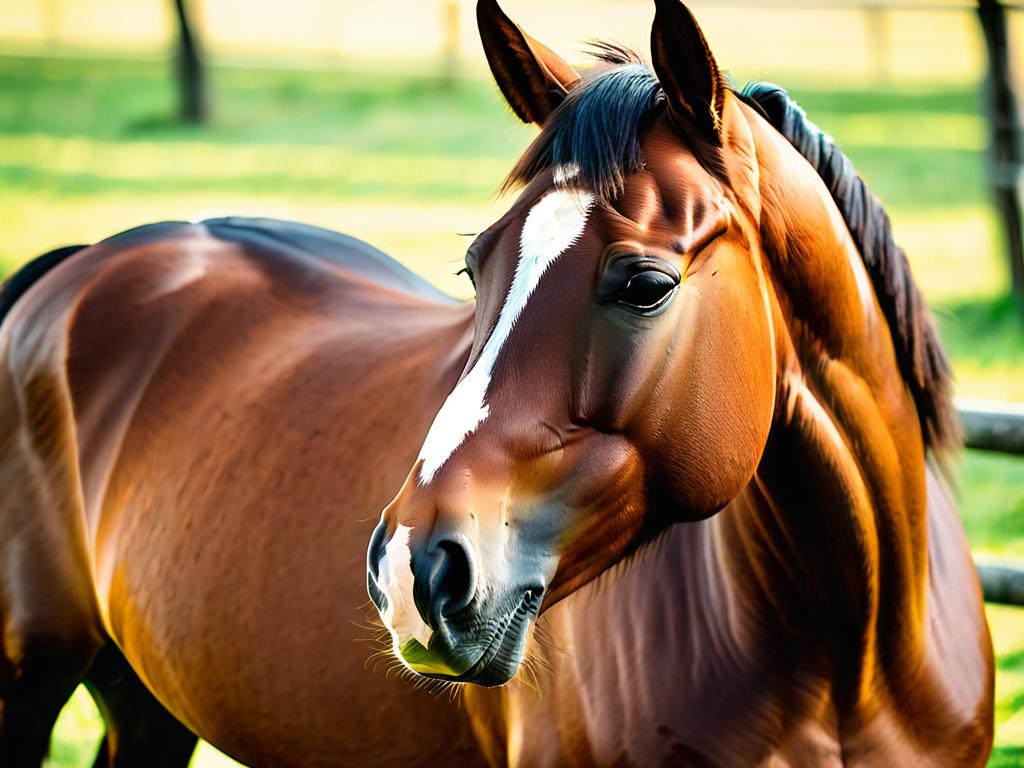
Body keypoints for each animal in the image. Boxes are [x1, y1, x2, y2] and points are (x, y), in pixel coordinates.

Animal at [0, 1, 991, 768]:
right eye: (476, 267)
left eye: (646, 285)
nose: (414, 570)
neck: (852, 656)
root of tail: (77, 267)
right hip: (30, 676)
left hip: (144, 703)